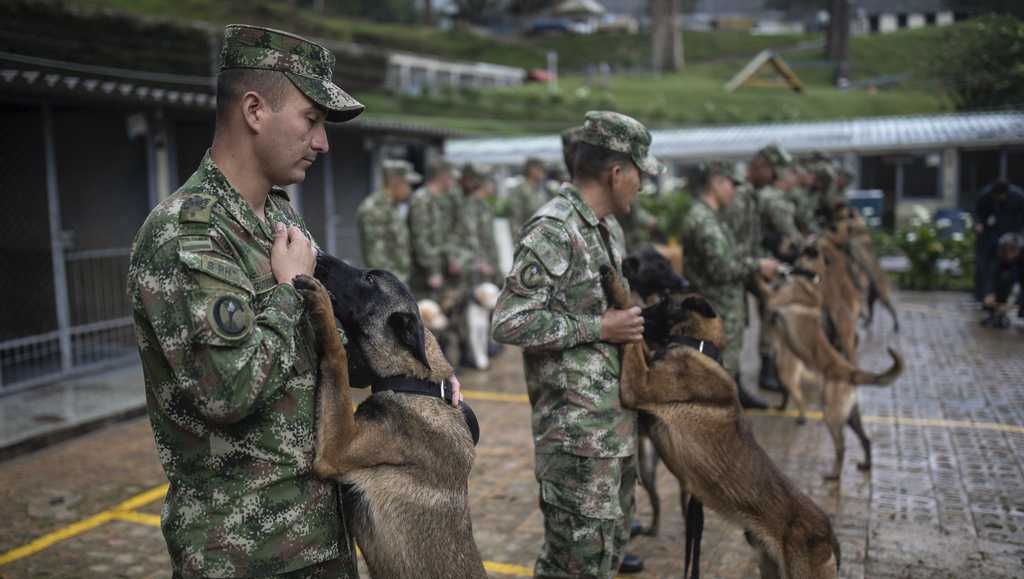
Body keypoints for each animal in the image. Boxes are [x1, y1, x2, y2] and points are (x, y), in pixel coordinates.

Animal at [292, 254, 487, 577]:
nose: (319, 256)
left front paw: (322, 307)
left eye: (370, 278)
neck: (413, 382)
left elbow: (337, 356)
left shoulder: (337, 449)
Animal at [598, 266, 839, 577]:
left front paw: (618, 289)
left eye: (663, 301)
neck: (700, 346)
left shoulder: (636, 385)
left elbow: (635, 341)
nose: (641, 310)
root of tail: (829, 531)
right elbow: (641, 346)